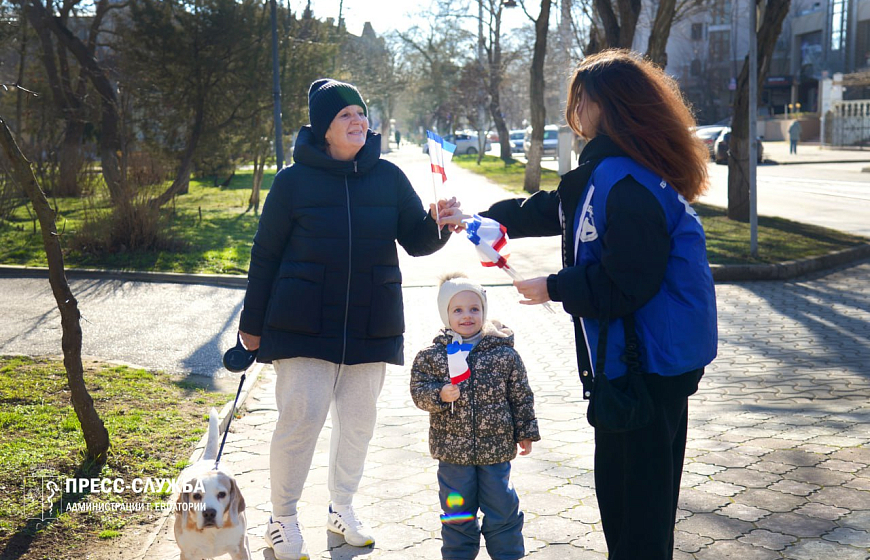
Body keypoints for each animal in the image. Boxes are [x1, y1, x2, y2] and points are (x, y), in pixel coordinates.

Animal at [173, 406, 249, 560]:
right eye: (196, 496)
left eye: (222, 494)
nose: (209, 513)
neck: (211, 532)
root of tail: (206, 460)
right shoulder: (187, 554)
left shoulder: (239, 550)